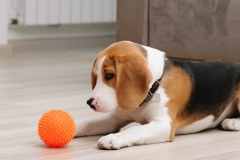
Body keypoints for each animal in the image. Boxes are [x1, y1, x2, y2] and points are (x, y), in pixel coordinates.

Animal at [75, 40, 240, 149]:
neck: (155, 85)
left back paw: (233, 122)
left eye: (109, 75)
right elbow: (88, 123)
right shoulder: (115, 119)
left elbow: (135, 129)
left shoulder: (164, 125)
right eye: (96, 77)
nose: (90, 102)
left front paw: (113, 138)